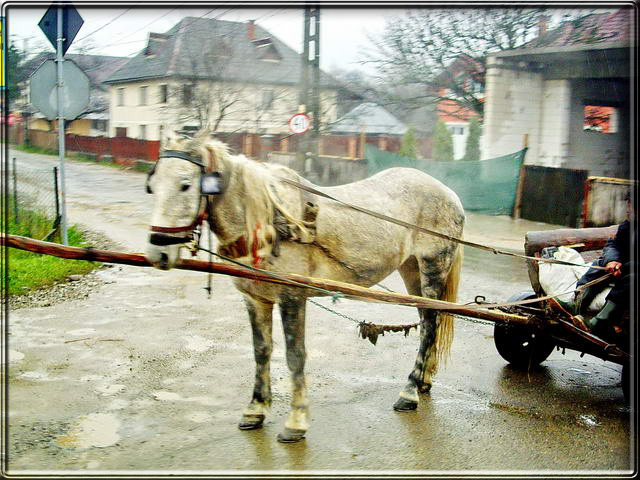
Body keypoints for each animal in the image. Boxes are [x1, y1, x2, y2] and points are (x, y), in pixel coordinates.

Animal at [146, 131, 464, 442]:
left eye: (186, 185)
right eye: (152, 186)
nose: (157, 252)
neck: (271, 224)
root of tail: (449, 193)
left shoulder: (291, 296)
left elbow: (295, 355)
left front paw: (296, 422)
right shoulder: (255, 299)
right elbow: (261, 351)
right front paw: (255, 409)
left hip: (433, 266)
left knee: (430, 325)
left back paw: (409, 392)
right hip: (411, 270)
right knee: (427, 321)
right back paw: (422, 381)